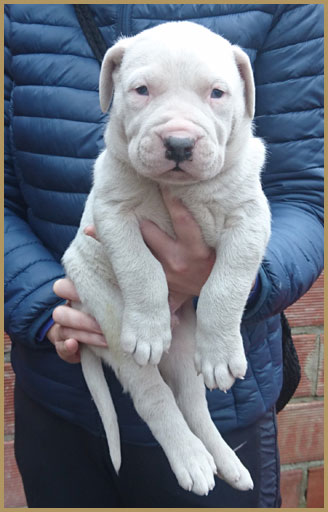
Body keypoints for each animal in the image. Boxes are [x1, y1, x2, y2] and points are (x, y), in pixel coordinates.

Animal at [62, 21, 270, 496]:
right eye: (141, 90)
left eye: (217, 93)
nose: (178, 143)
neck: (182, 190)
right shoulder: (112, 212)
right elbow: (142, 269)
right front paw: (149, 328)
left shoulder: (250, 219)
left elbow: (227, 284)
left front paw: (222, 354)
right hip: (110, 323)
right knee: (153, 396)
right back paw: (191, 459)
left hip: (186, 343)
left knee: (194, 404)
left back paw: (228, 464)